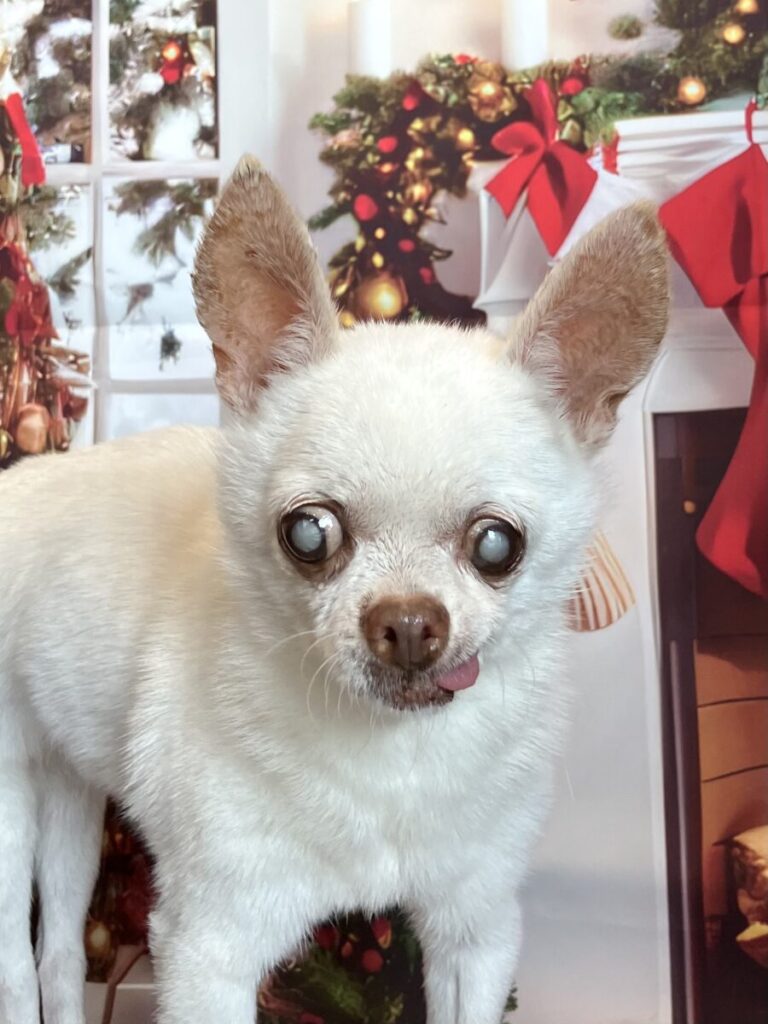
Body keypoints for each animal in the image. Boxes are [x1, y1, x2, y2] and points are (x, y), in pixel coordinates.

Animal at [0, 157, 668, 1024]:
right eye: (309, 533)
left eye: (497, 545)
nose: (410, 622)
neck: (394, 760)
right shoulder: (208, 948)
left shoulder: (476, 933)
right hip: (9, 808)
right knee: (16, 960)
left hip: (71, 789)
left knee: (58, 946)